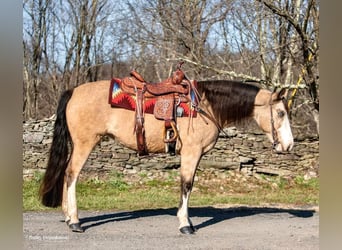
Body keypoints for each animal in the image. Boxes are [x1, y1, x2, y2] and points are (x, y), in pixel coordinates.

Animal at [38, 67, 292, 234]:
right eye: (280, 113)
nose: (289, 145)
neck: (206, 105)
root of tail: (73, 91)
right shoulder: (191, 152)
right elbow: (186, 185)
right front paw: (185, 224)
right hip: (85, 143)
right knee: (71, 174)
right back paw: (75, 221)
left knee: (66, 174)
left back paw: (67, 215)